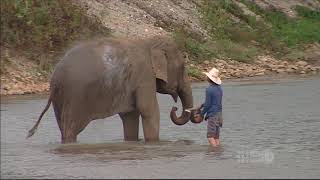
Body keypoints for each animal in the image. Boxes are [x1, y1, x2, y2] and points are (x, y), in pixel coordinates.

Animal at [27, 35, 199, 144]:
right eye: (183, 67)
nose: (174, 108)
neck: (148, 42)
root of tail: (56, 77)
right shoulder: (144, 76)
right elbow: (148, 110)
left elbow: (130, 115)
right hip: (75, 97)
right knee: (70, 129)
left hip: (60, 100)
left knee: (63, 127)